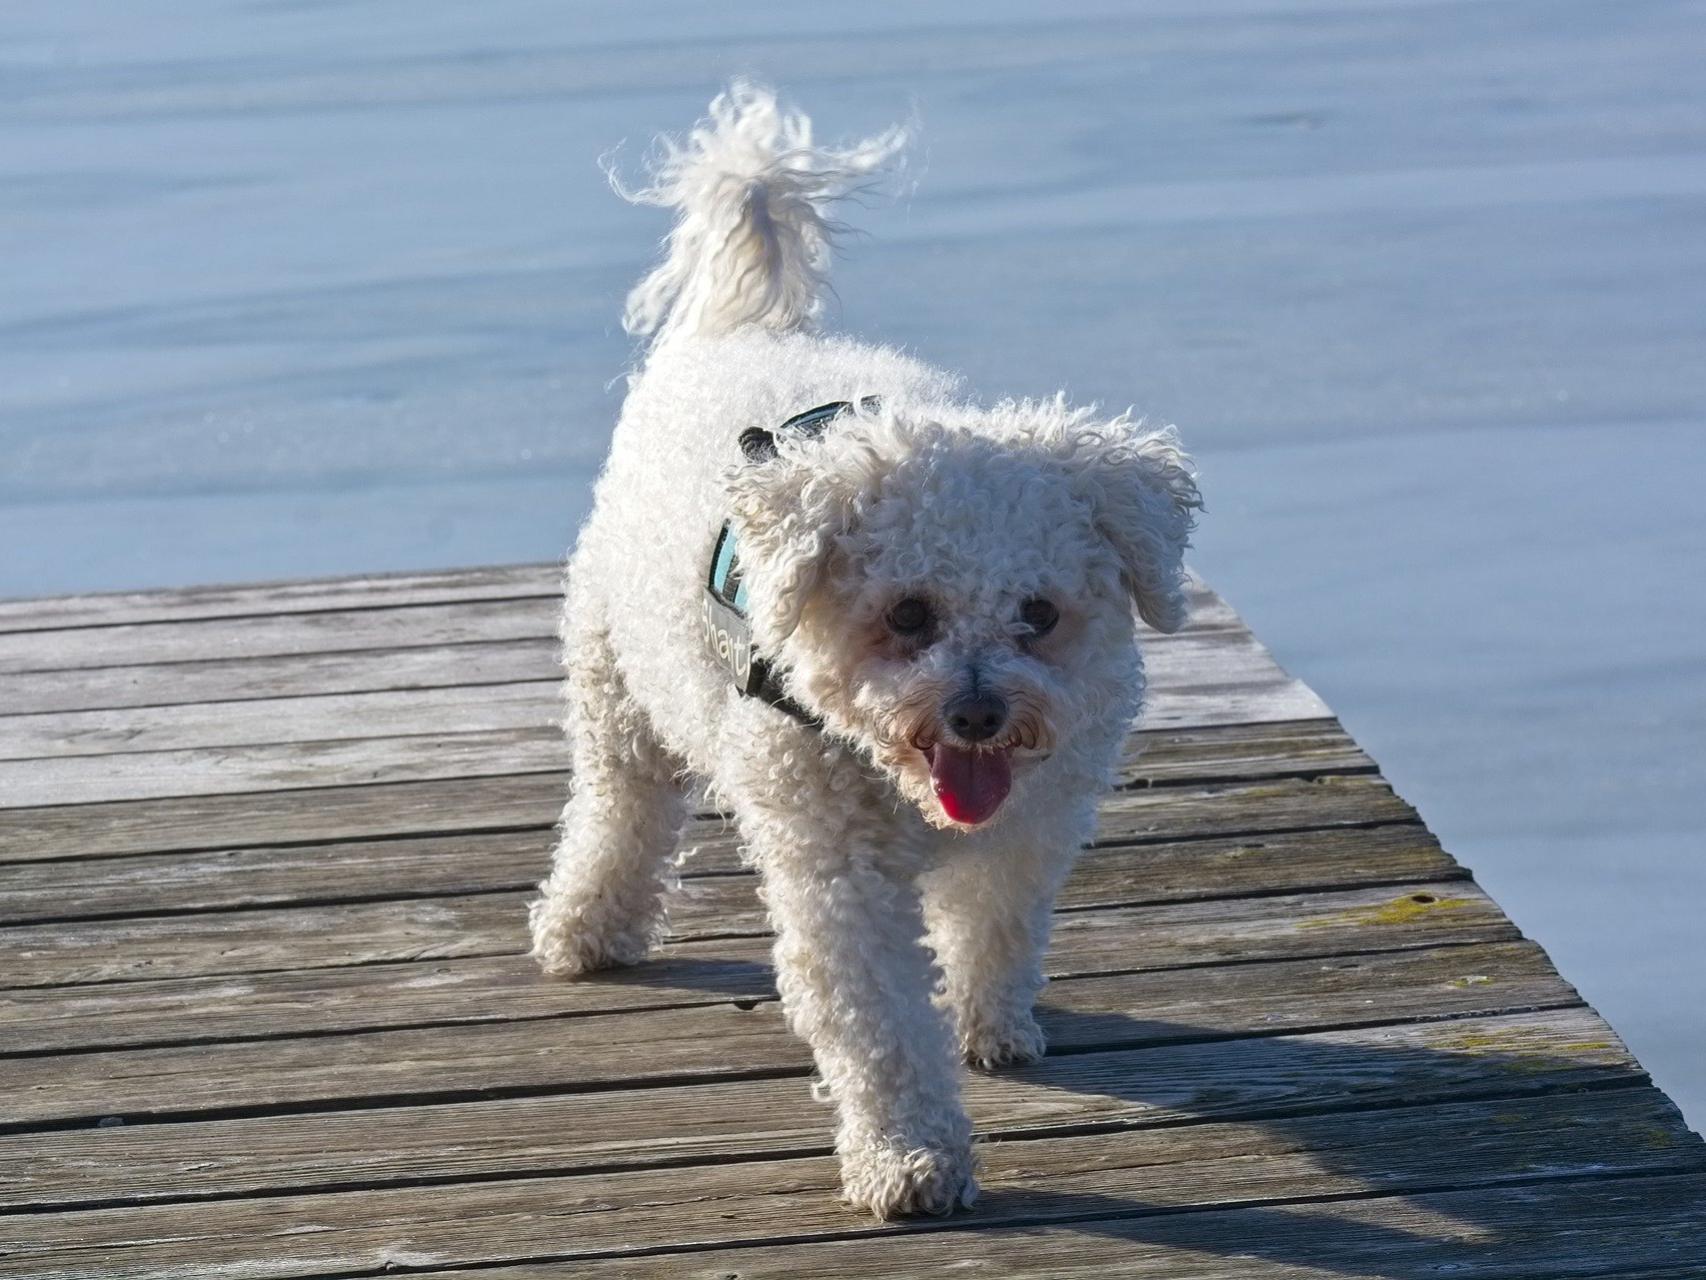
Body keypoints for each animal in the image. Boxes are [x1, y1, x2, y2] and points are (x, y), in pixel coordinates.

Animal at [532, 82, 1201, 1221]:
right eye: (908, 613)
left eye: (1037, 612)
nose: (977, 712)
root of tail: (744, 327)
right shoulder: (838, 878)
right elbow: (880, 1024)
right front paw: (911, 1157)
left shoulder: (1032, 825)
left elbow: (996, 927)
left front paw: (991, 1027)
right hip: (617, 684)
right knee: (619, 808)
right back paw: (584, 926)